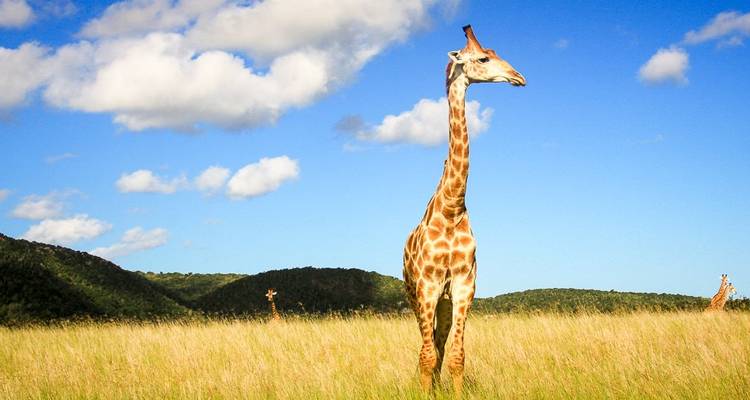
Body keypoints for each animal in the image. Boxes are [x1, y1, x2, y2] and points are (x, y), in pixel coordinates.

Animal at [402, 25, 525, 395]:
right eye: (483, 58)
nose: (519, 77)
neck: (451, 207)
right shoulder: (428, 285)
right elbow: (427, 355)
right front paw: (425, 393)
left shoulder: (463, 284)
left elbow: (456, 355)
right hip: (415, 295)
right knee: (426, 346)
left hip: (442, 301)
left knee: (439, 344)